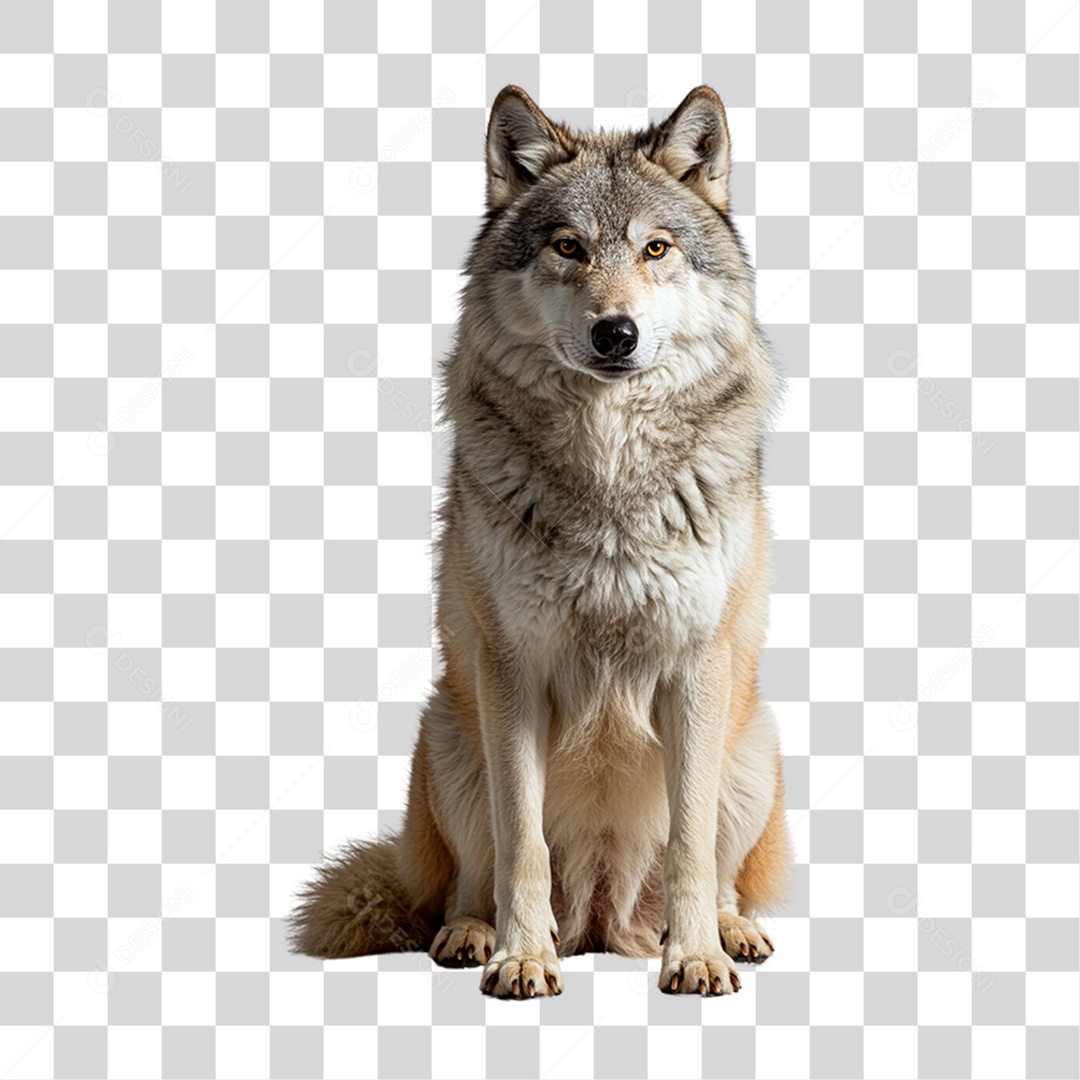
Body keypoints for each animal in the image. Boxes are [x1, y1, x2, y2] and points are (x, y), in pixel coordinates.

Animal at [290, 85, 792, 998]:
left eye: (656, 248)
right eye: (569, 247)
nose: (615, 333)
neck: (610, 476)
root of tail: (603, 919)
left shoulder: (697, 667)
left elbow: (692, 845)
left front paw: (695, 956)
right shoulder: (512, 670)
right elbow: (520, 839)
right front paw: (522, 956)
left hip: (754, 743)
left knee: (722, 870)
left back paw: (730, 932)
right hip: (449, 738)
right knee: (466, 879)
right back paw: (469, 934)